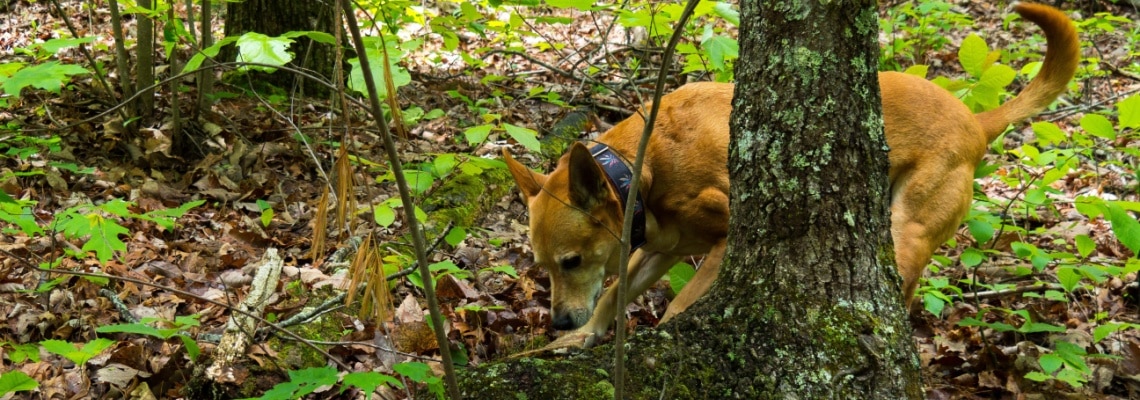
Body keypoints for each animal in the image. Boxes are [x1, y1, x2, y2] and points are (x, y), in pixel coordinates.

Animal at [506, 2, 1076, 348]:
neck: (642, 169)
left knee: (901, 296)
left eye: (571, 261)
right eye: (542, 267)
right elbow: (612, 294)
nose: (557, 321)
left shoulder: (726, 239)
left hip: (907, 231)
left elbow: (677, 309)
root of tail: (974, 120)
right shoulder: (658, 249)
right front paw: (584, 336)